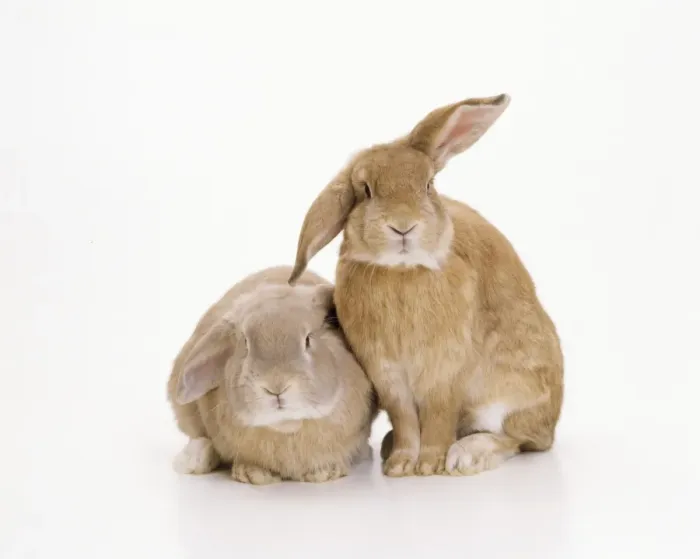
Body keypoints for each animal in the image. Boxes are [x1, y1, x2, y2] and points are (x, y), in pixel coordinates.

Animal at [167, 266, 376, 484]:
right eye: (245, 344)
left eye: (308, 340)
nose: (276, 388)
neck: (287, 427)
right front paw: (253, 474)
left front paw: (326, 471)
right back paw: (193, 459)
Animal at [288, 94, 563, 478]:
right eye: (366, 190)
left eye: (429, 185)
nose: (403, 226)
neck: (402, 271)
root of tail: (550, 424)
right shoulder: (386, 374)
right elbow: (404, 417)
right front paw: (401, 464)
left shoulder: (445, 371)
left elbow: (438, 415)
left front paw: (431, 463)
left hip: (512, 392)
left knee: (516, 438)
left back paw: (468, 456)